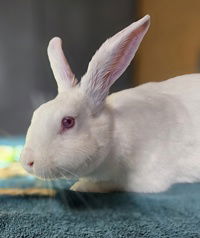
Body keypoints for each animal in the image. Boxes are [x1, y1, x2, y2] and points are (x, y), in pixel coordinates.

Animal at [20, 14, 200, 192]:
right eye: (36, 113)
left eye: (68, 122)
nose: (27, 161)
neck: (114, 134)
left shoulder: (144, 179)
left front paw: (80, 186)